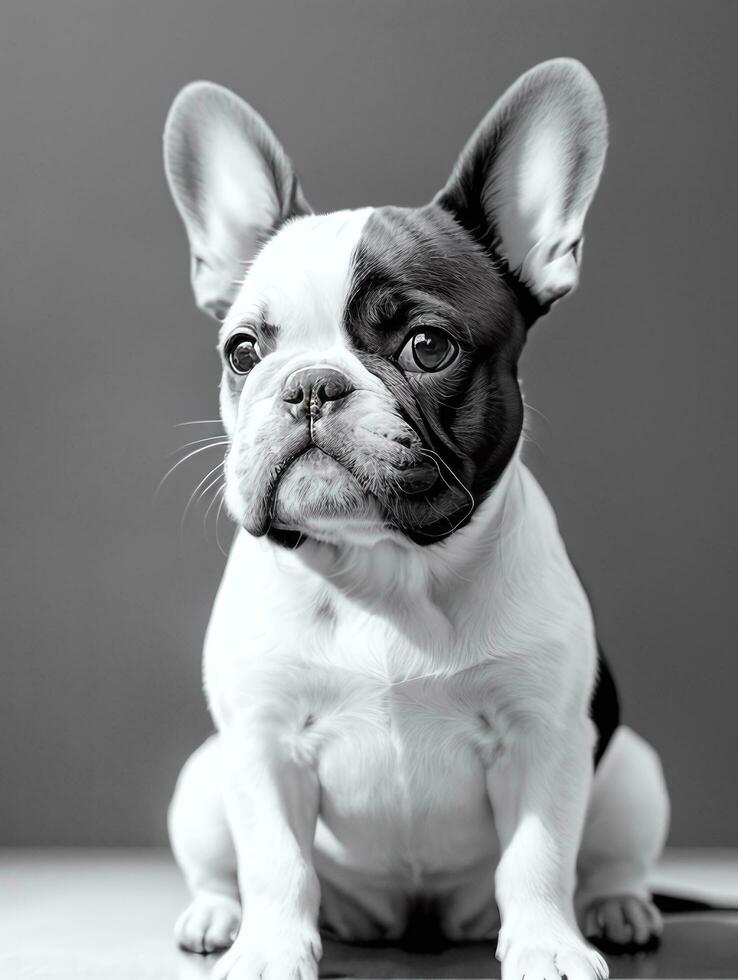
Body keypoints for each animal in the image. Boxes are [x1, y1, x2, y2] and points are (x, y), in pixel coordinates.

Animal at [162, 59, 668, 980]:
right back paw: (218, 917)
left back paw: (616, 909)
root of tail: (413, 917)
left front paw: (547, 946)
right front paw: (269, 949)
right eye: (243, 351)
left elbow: (539, 856)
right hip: (203, 776)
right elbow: (276, 861)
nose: (310, 385)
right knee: (224, 865)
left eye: (428, 347)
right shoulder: (260, 741)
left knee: (608, 860)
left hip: (629, 770)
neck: (383, 568)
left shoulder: (544, 736)